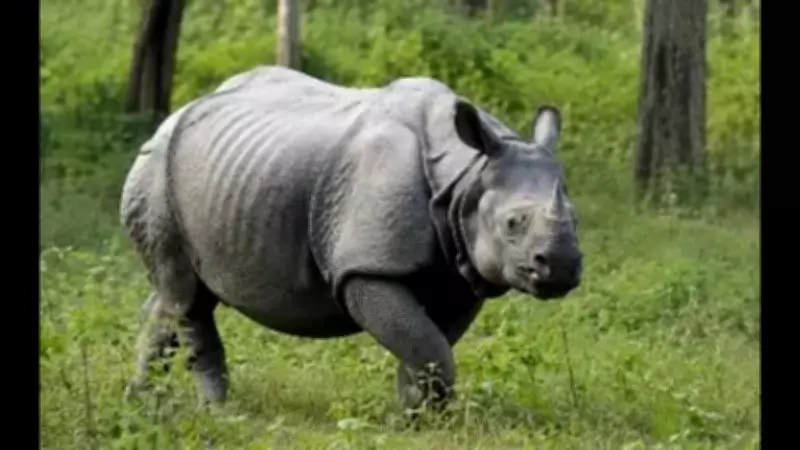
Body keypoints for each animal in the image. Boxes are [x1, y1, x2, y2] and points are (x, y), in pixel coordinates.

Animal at [120, 66, 583, 414]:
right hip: (156, 172)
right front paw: (428, 418)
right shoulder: (365, 269)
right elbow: (426, 342)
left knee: (179, 296)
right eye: (513, 223)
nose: (561, 267)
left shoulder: (460, 270)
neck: (466, 176)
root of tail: (172, 117)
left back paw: (152, 403)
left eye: (576, 218)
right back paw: (212, 411)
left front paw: (417, 414)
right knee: (184, 296)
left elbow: (430, 343)